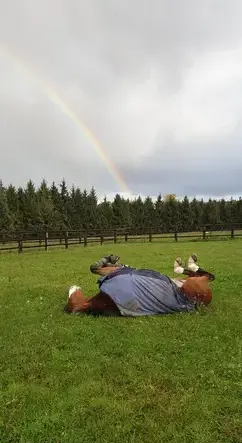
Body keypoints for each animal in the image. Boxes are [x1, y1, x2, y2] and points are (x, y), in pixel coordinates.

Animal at [63, 255, 215, 318]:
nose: (73, 287)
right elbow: (95, 268)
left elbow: (96, 267)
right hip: (192, 283)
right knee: (205, 275)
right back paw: (186, 263)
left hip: (189, 281)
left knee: (204, 274)